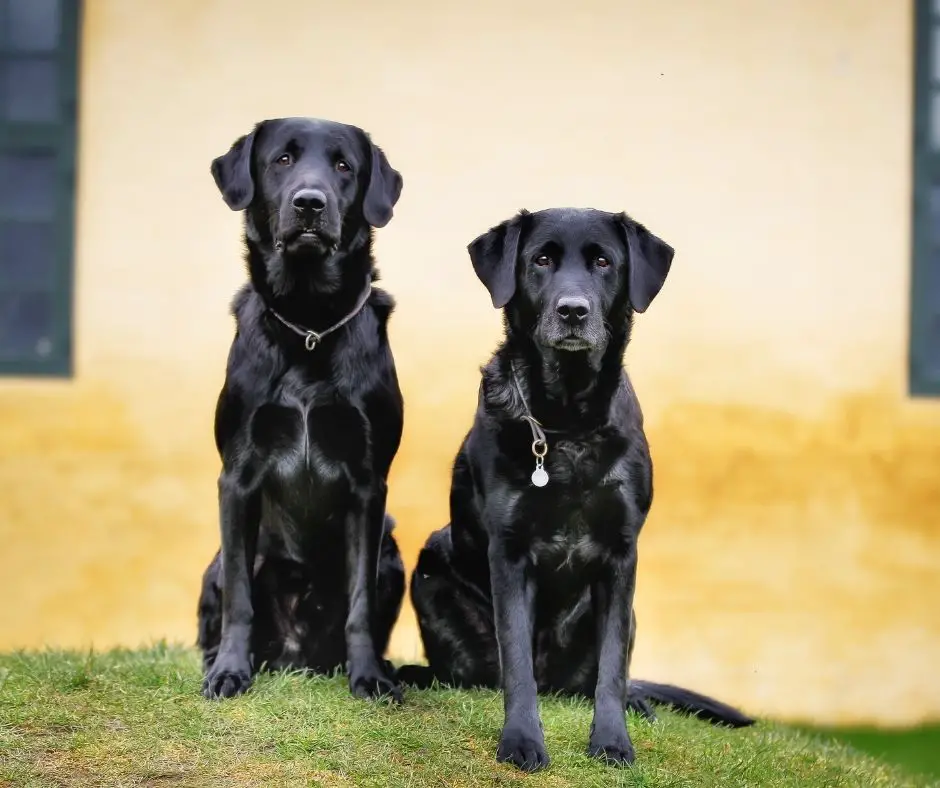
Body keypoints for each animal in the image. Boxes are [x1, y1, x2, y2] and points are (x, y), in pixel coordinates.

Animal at [196, 115, 406, 700]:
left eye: (344, 166)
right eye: (282, 159)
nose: (310, 203)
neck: (310, 322)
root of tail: (296, 656)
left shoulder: (369, 483)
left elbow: (360, 604)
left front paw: (368, 677)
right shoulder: (237, 476)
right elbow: (240, 599)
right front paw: (229, 671)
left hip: (392, 552)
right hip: (214, 563)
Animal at [400, 208, 752, 768]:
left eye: (604, 262)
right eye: (541, 259)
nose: (572, 311)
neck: (567, 422)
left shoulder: (622, 554)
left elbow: (611, 668)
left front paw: (612, 741)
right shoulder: (510, 551)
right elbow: (517, 661)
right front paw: (521, 741)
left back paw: (637, 704)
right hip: (433, 560)